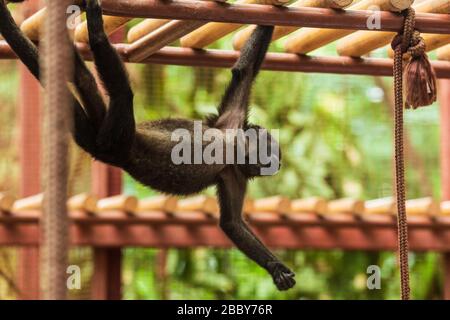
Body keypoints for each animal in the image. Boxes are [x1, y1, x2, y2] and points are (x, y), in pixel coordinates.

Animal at [0, 0, 296, 290]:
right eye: (269, 152)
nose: (275, 164)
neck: (233, 149)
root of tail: (106, 150)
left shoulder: (234, 172)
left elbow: (232, 223)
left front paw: (275, 268)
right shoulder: (231, 124)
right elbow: (245, 70)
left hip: (109, 135)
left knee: (89, 83)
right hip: (119, 135)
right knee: (122, 92)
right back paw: (94, 32)